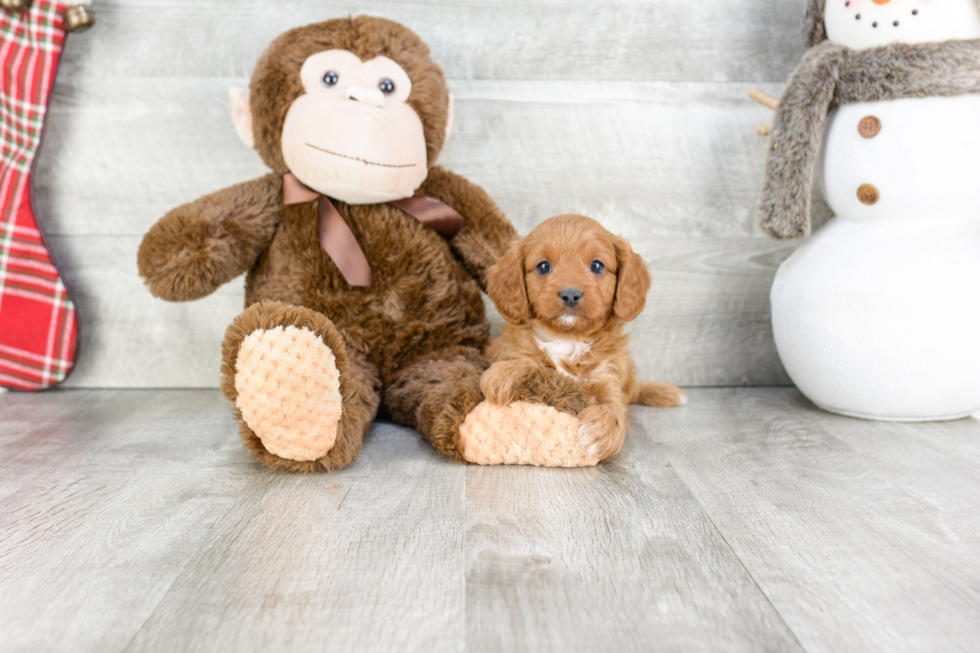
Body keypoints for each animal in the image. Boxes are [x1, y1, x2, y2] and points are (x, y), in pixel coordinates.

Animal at [480, 214, 680, 458]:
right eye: (543, 266)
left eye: (597, 265)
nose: (570, 295)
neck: (569, 339)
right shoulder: (513, 349)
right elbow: (529, 361)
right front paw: (504, 373)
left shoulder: (608, 378)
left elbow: (616, 407)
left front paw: (604, 428)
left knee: (634, 391)